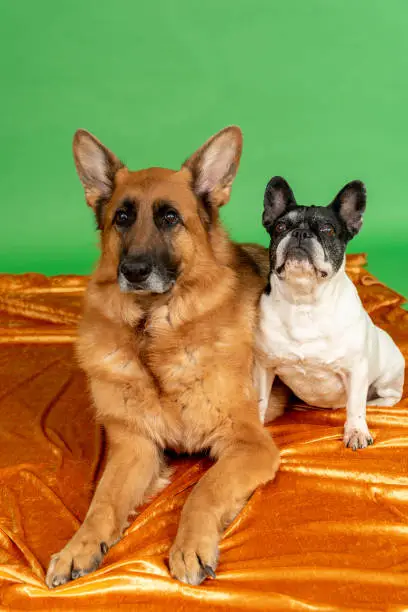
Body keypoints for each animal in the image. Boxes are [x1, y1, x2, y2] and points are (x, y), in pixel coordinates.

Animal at [45, 125, 280, 588]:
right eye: (122, 218)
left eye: (170, 218)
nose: (134, 271)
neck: (153, 334)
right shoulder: (134, 447)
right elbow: (102, 502)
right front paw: (79, 546)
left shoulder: (250, 445)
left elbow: (204, 490)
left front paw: (190, 546)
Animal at [255, 177, 404, 450]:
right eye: (280, 226)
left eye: (328, 230)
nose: (300, 233)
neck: (304, 301)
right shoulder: (264, 366)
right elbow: (260, 400)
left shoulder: (355, 369)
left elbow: (355, 406)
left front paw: (356, 431)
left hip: (390, 373)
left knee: (387, 397)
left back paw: (375, 404)